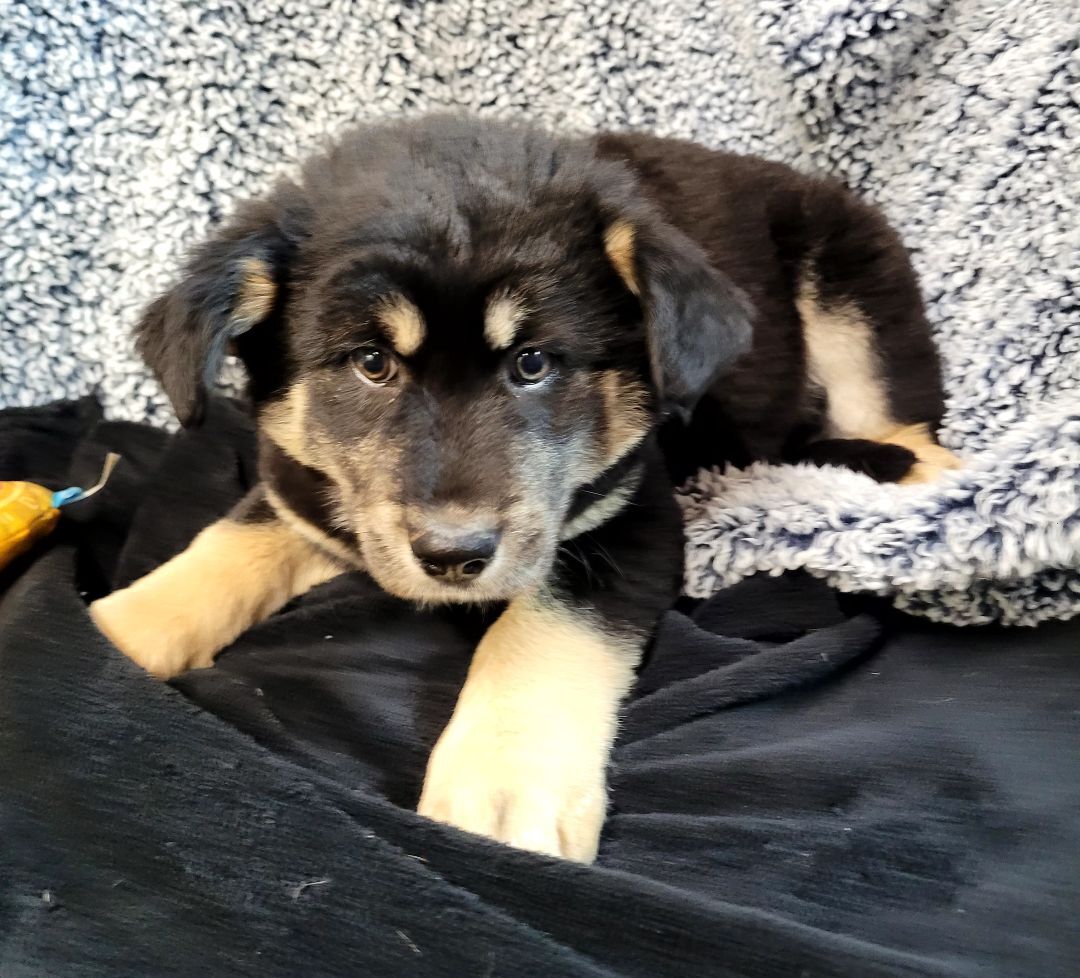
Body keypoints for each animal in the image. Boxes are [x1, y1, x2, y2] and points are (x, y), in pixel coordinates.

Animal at [90, 116, 954, 863]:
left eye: (533, 363)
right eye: (371, 363)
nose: (453, 557)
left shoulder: (632, 516)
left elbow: (542, 631)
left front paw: (505, 786)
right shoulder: (302, 488)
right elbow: (225, 543)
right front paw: (116, 630)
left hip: (854, 296)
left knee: (907, 422)